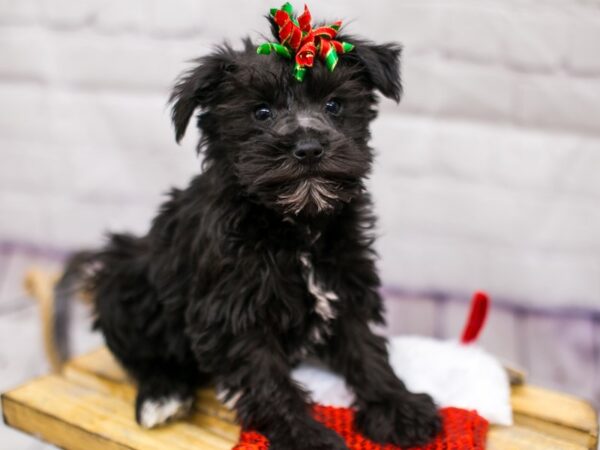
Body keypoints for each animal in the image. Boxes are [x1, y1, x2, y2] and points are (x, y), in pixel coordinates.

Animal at [56, 7, 440, 450]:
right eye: (261, 113)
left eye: (334, 105)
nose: (309, 148)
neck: (296, 227)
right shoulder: (235, 312)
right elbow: (267, 380)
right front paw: (305, 436)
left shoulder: (345, 282)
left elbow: (366, 350)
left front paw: (398, 406)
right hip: (122, 274)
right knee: (140, 355)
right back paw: (163, 394)